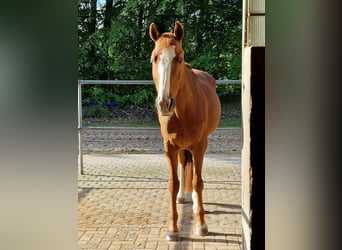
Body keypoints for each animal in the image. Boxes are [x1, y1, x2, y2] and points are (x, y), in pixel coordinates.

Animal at [150, 22, 222, 240]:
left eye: (179, 58)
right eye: (155, 57)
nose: (164, 103)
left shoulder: (199, 146)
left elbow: (198, 182)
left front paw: (201, 225)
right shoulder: (169, 146)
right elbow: (173, 184)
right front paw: (173, 229)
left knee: (197, 176)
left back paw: (197, 204)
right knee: (184, 164)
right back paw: (183, 197)